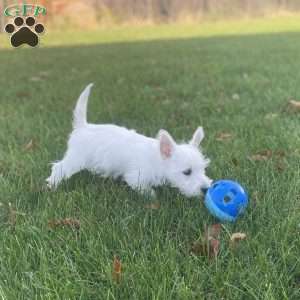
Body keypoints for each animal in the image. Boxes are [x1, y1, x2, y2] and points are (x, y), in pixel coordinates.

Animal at [46, 84, 211, 197]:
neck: (157, 159)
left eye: (203, 169)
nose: (206, 189)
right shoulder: (135, 178)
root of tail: (83, 126)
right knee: (58, 168)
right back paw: (52, 185)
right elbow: (145, 190)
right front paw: (152, 197)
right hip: (76, 159)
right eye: (187, 172)